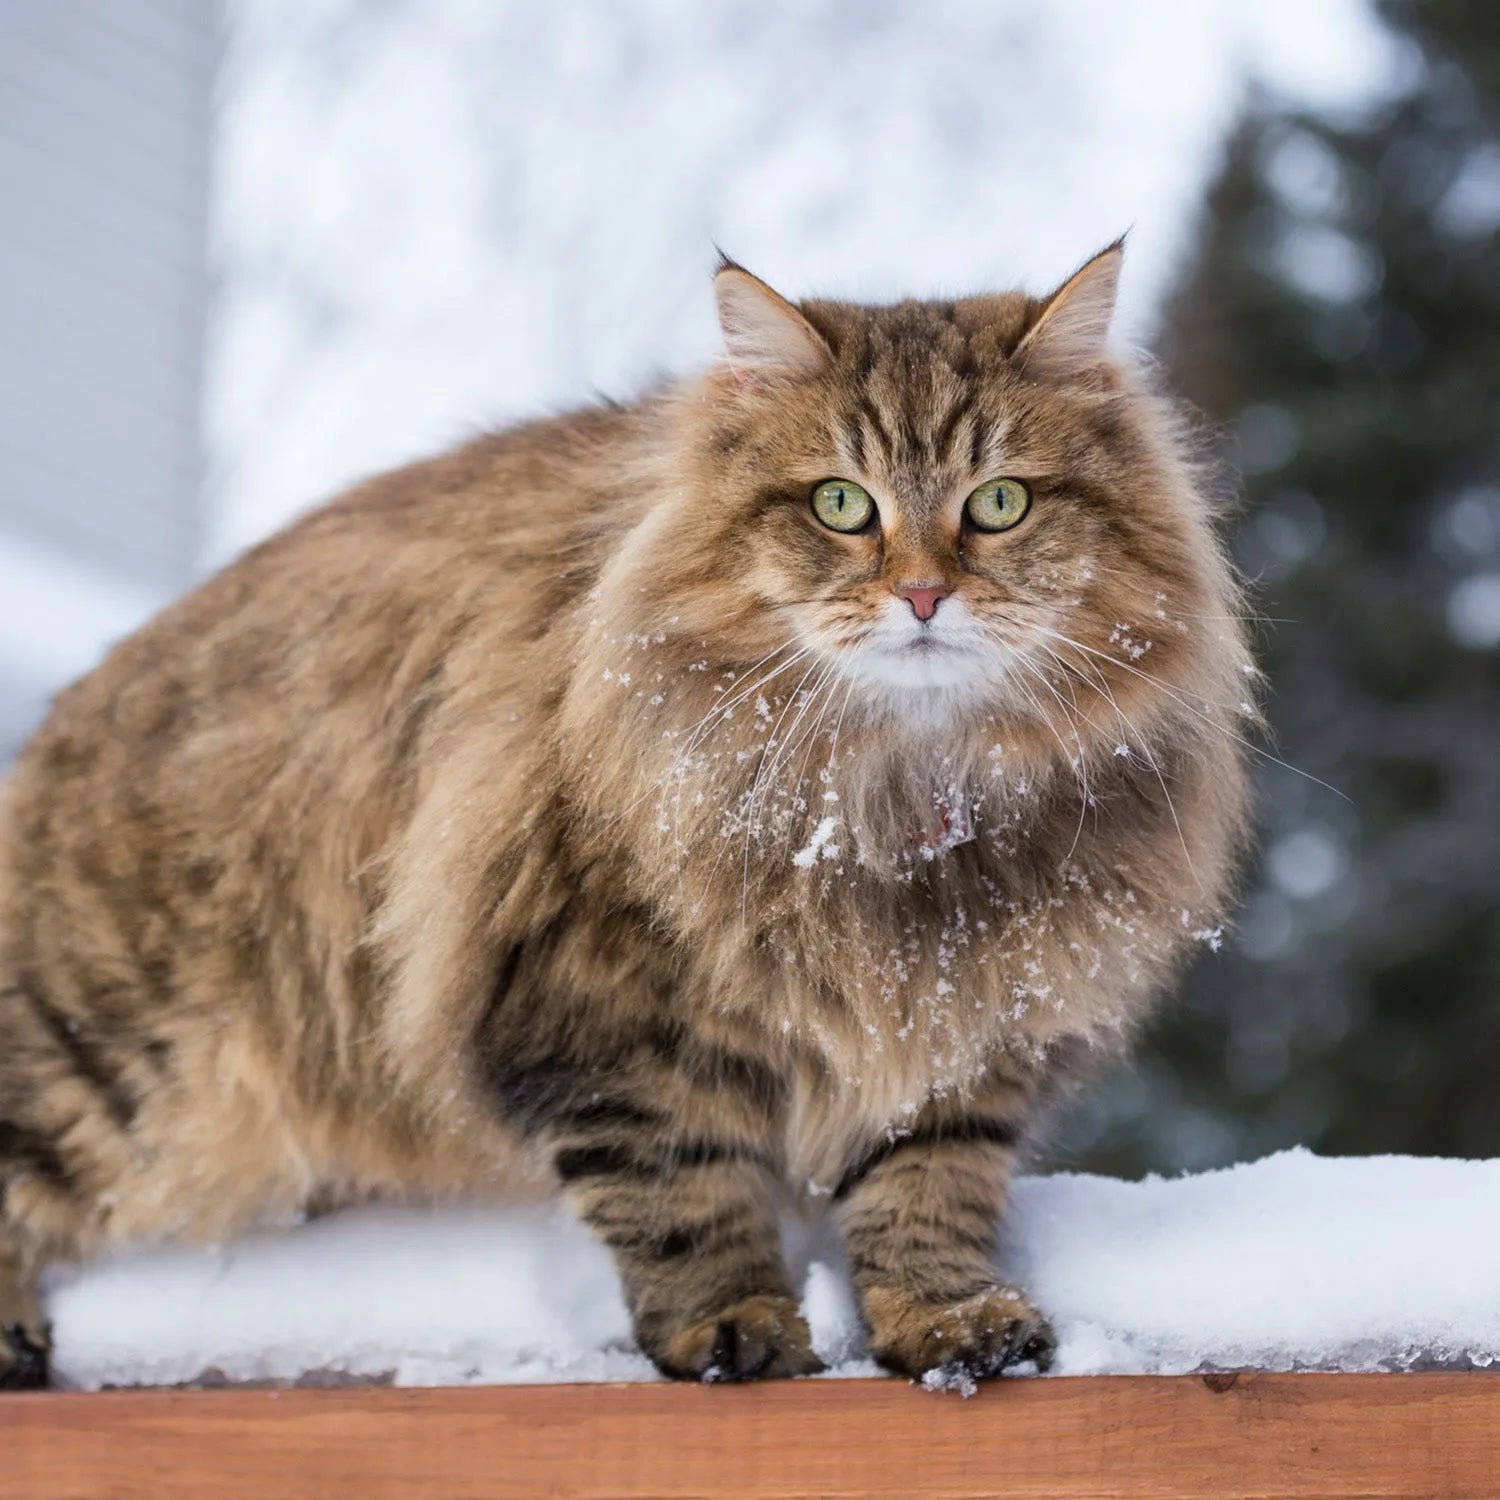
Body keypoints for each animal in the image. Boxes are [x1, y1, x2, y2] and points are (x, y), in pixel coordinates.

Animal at [0, 243, 1254, 1380]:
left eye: (999, 502)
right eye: (841, 505)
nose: (922, 594)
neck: (892, 800)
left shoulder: (963, 1027)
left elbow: (926, 1194)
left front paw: (948, 1323)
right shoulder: (601, 1008)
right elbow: (684, 1195)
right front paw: (735, 1330)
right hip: (116, 1056)